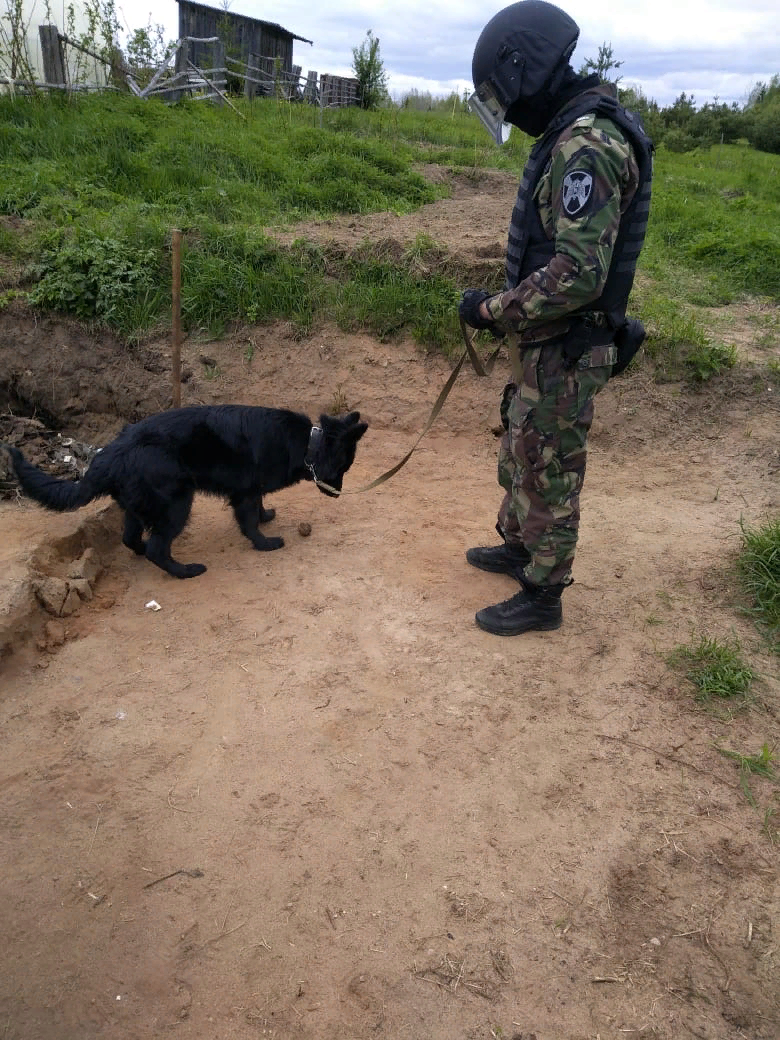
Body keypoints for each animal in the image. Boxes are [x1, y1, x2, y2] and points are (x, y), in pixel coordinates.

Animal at [7, 403, 370, 578]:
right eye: (343, 468)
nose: (338, 493)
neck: (306, 443)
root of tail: (109, 454)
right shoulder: (244, 492)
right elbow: (249, 521)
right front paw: (264, 543)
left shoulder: (251, 489)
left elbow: (258, 509)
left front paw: (267, 516)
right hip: (177, 503)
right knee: (157, 548)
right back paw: (185, 571)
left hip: (138, 506)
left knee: (132, 539)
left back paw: (144, 553)